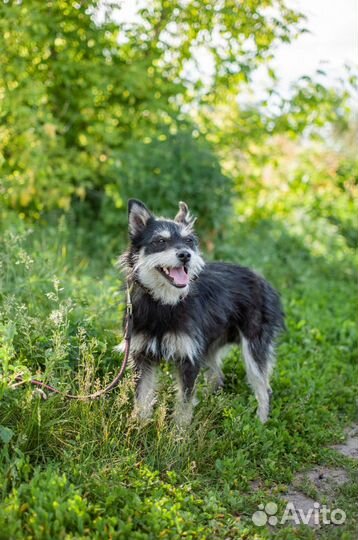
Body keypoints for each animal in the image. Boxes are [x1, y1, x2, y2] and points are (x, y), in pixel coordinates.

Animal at [118, 199, 286, 426]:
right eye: (160, 241)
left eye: (189, 241)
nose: (185, 255)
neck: (164, 303)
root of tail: (264, 280)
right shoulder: (142, 356)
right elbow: (142, 398)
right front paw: (139, 428)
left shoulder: (188, 358)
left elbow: (184, 404)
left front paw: (178, 434)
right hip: (210, 346)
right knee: (217, 376)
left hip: (253, 349)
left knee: (264, 389)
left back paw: (260, 423)